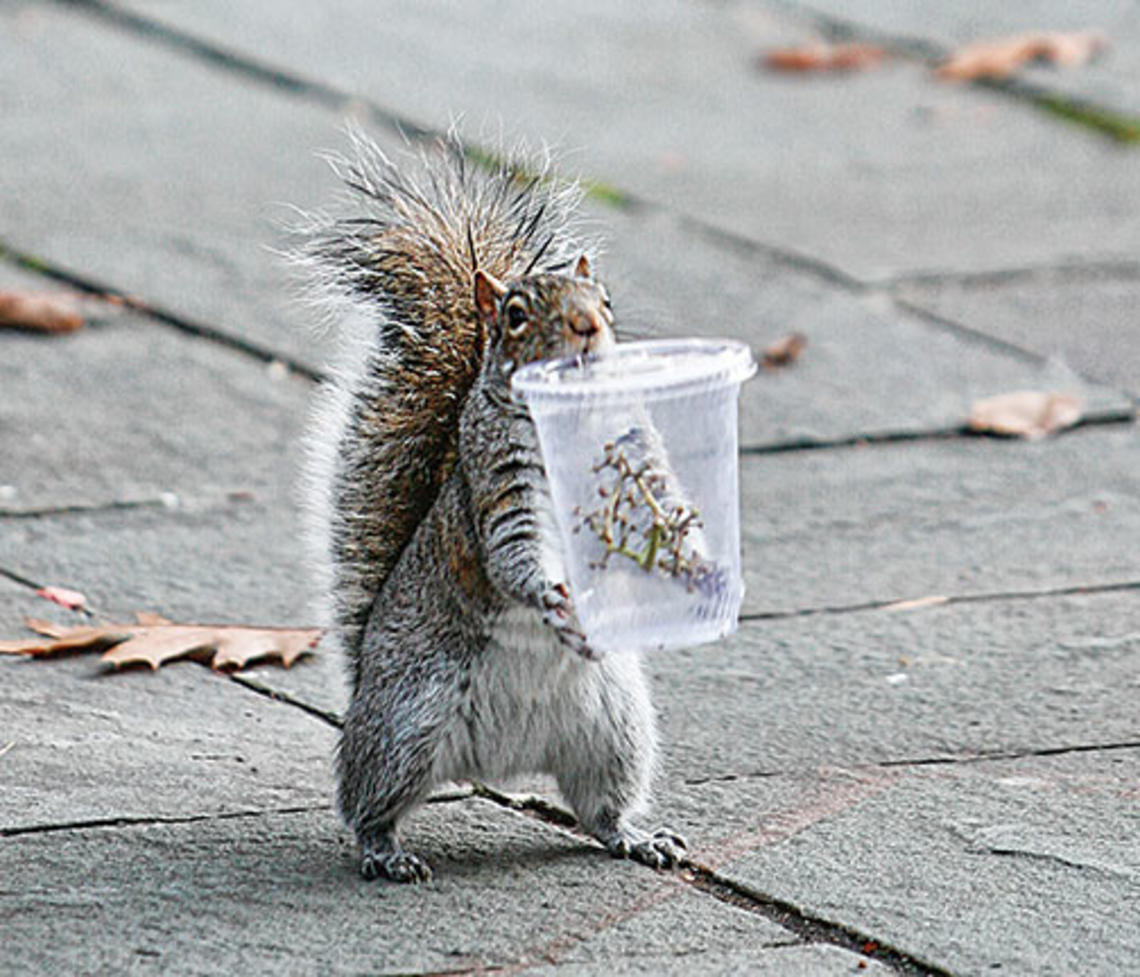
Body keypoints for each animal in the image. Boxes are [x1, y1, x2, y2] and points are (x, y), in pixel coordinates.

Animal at [298, 129, 684, 884]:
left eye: (605, 298)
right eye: (515, 316)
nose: (588, 327)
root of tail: (504, 760)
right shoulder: (502, 495)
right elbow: (514, 558)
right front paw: (555, 598)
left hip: (617, 729)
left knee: (602, 808)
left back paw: (636, 837)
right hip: (404, 725)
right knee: (364, 802)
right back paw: (386, 852)